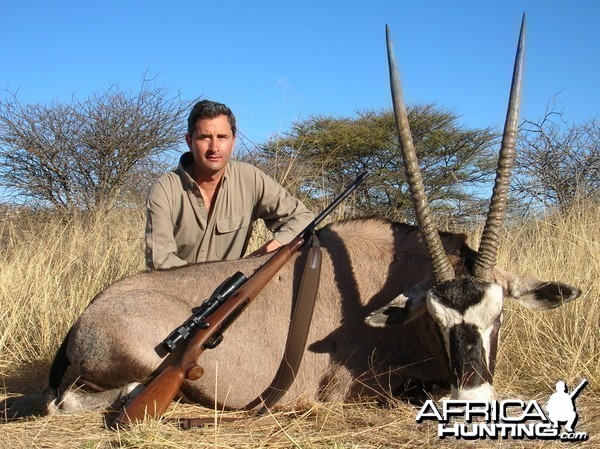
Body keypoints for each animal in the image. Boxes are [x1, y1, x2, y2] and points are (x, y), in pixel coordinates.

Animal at [44, 17, 580, 416]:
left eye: (500, 316)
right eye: (434, 318)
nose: (473, 400)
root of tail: (84, 319)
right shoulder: (353, 387)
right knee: (72, 402)